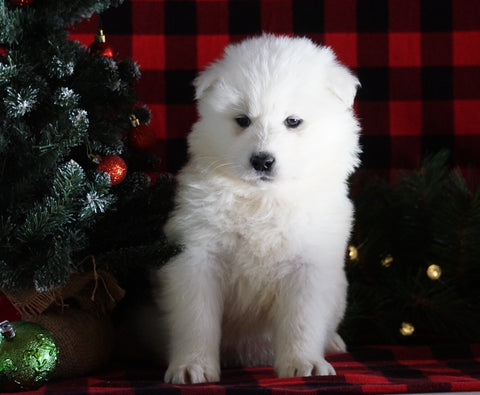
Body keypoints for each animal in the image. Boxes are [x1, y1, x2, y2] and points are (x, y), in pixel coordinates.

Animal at [156, 35, 362, 386]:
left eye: (293, 121)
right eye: (242, 120)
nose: (262, 161)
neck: (263, 199)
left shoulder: (308, 265)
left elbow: (302, 320)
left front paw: (304, 364)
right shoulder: (196, 257)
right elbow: (197, 319)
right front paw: (191, 367)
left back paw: (333, 344)